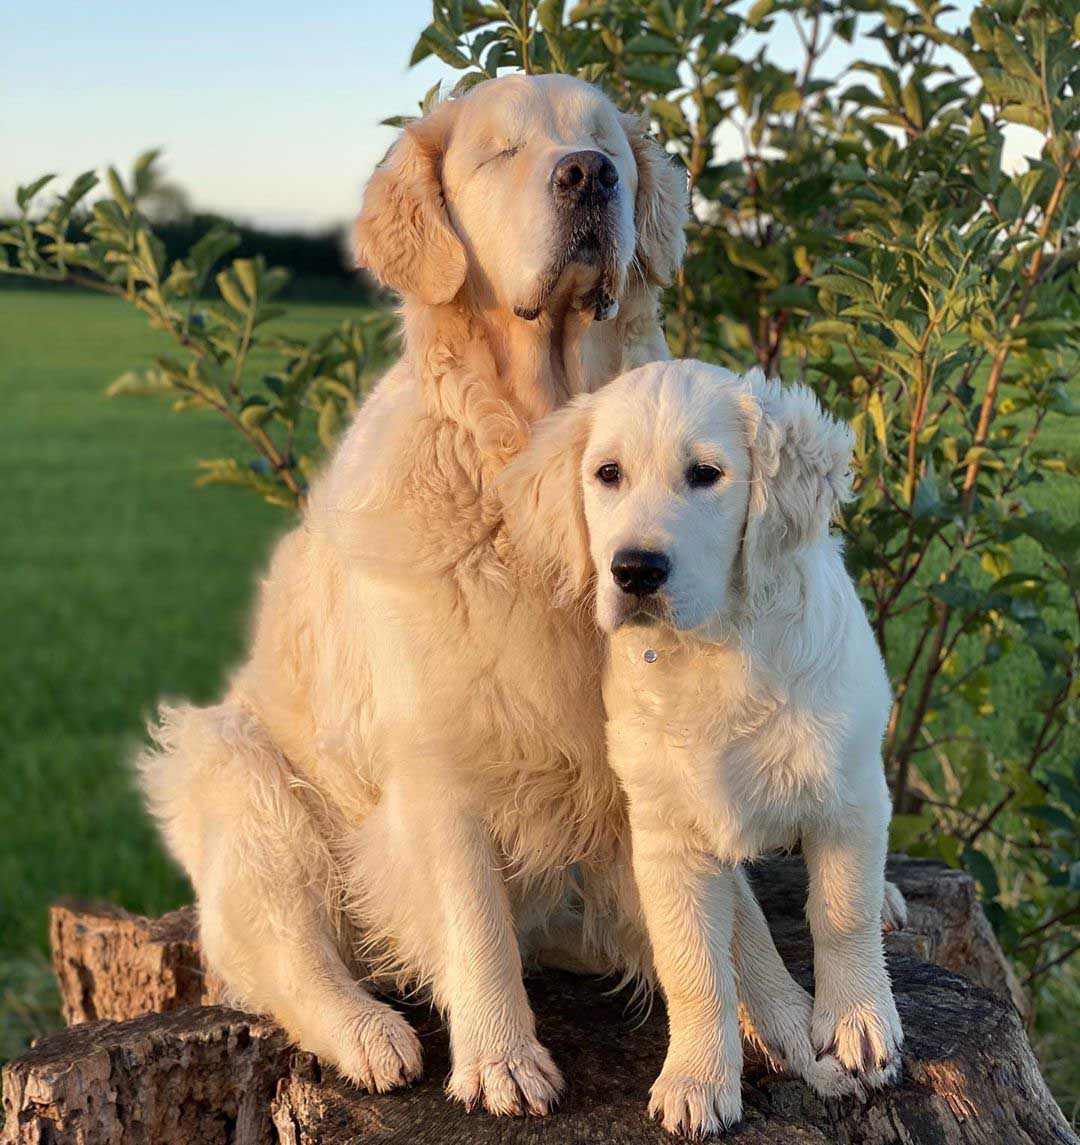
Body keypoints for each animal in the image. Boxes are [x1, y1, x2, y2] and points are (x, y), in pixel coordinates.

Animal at [503, 359, 902, 1135]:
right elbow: (693, 965)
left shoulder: (849, 793)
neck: (716, 649)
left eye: (707, 474)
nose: (635, 570)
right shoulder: (665, 833)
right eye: (608, 474)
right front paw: (697, 1078)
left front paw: (857, 1019)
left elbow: (842, 910)